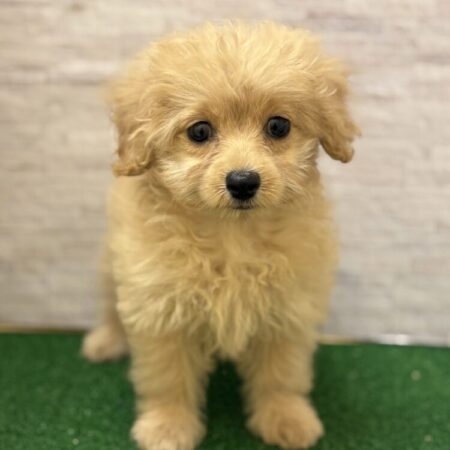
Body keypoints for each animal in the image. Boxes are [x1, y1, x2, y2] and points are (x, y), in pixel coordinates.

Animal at [82, 21, 359, 450]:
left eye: (278, 126)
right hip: (112, 265)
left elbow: (282, 373)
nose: (243, 181)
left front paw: (287, 418)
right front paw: (167, 427)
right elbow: (168, 378)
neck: (233, 235)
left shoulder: (288, 309)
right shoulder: (162, 309)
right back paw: (106, 340)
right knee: (111, 303)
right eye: (199, 131)